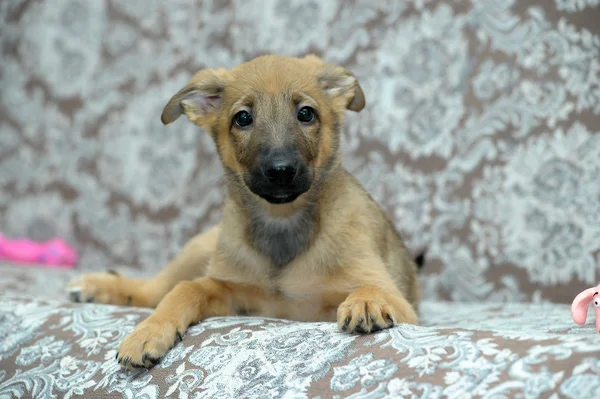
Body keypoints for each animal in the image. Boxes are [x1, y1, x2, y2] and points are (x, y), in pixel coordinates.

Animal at [68, 54, 420, 370]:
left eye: (306, 113)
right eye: (243, 118)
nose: (281, 171)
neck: (282, 223)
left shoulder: (402, 307)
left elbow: (371, 286)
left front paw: (367, 301)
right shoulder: (230, 290)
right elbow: (185, 289)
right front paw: (148, 332)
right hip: (199, 248)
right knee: (155, 289)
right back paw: (98, 286)